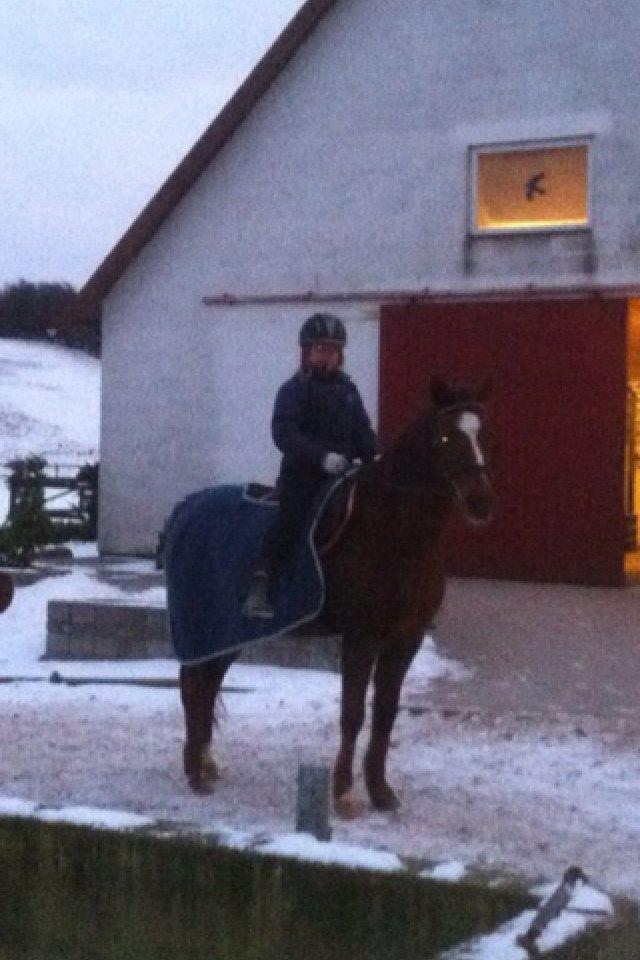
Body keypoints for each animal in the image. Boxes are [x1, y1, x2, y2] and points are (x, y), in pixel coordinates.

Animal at [170, 377, 495, 817]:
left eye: (482, 434)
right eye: (445, 436)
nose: (481, 501)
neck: (395, 535)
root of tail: (186, 509)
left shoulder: (404, 639)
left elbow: (385, 711)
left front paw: (381, 791)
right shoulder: (361, 637)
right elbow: (353, 712)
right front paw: (343, 792)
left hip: (227, 631)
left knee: (207, 682)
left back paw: (204, 763)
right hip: (206, 625)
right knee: (193, 683)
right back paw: (195, 771)